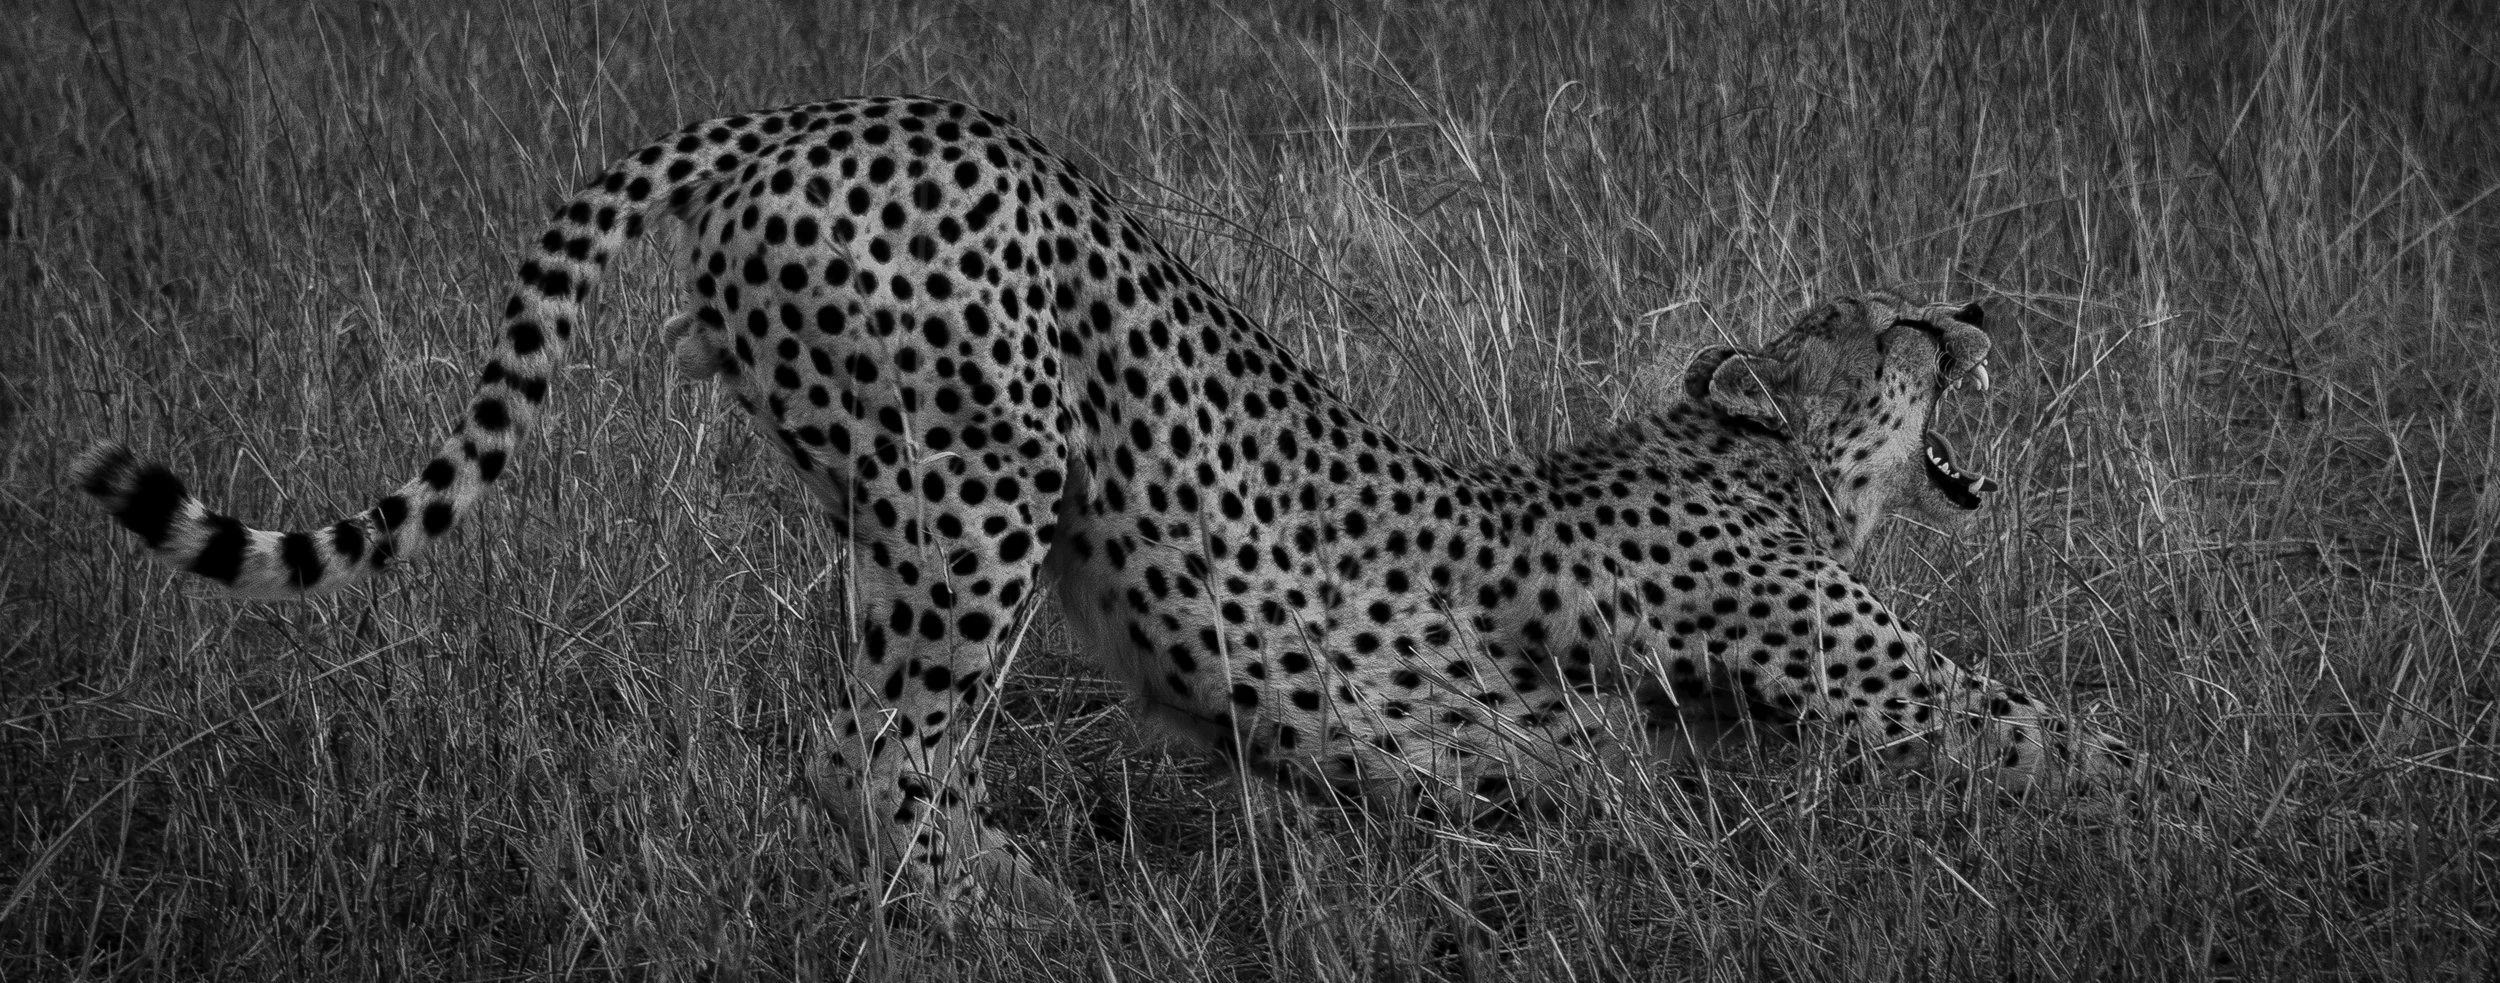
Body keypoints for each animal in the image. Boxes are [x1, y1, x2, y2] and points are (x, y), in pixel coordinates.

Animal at [72, 95, 2137, 926]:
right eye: (1883, 317)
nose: (1977, 308)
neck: (1758, 459)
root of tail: (826, 110)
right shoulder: (1855, 675)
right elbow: (2061, 737)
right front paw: (2203, 828)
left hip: (889, 494)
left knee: (867, 726)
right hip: (976, 480)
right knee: (882, 745)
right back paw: (1000, 905)